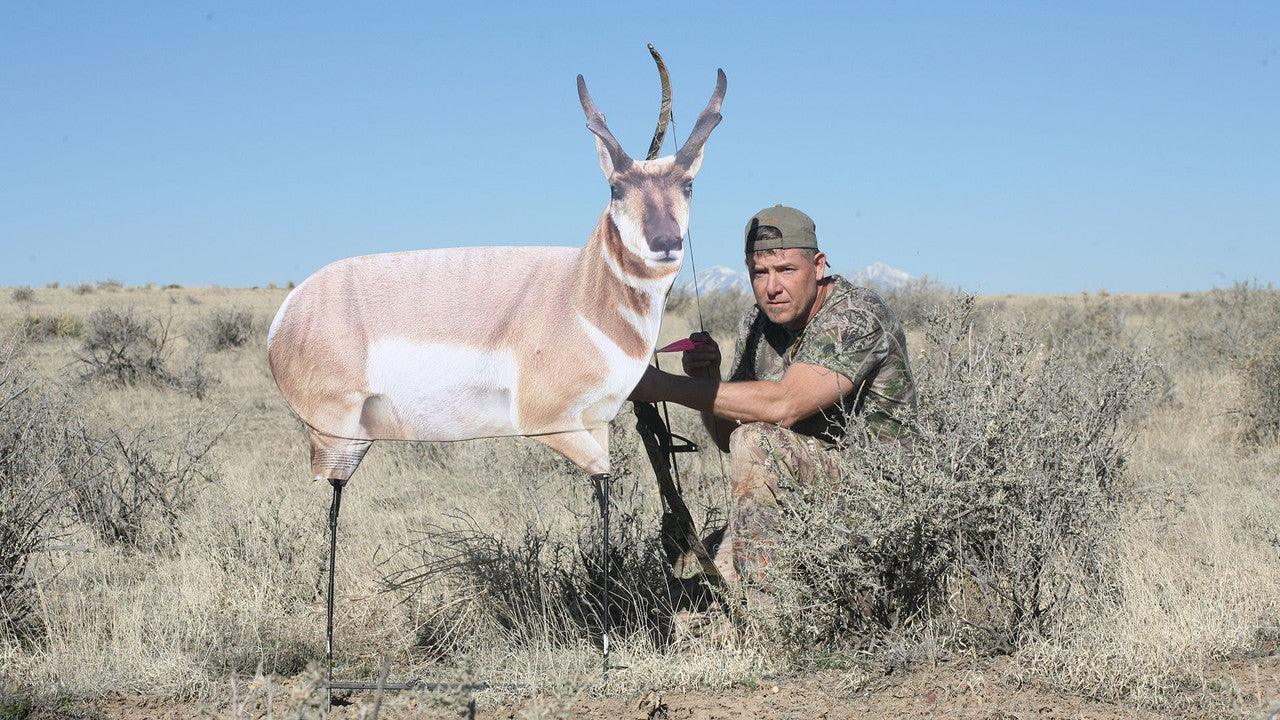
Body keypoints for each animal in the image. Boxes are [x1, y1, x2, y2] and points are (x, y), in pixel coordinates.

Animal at [266, 57, 726, 688]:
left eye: (688, 183)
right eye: (616, 186)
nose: (665, 243)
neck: (579, 292)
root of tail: (289, 309)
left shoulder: (601, 424)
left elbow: (605, 494)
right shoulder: (557, 424)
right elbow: (605, 489)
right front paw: (608, 652)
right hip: (338, 438)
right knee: (333, 504)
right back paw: (334, 662)